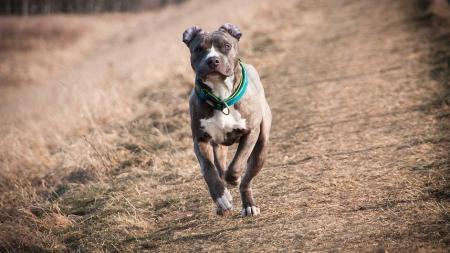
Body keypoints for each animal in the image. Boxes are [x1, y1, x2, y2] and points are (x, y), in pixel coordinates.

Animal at [182, 23, 270, 215]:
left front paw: (233, 179)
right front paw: (221, 197)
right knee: (220, 167)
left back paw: (248, 205)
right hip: (219, 147)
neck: (221, 96)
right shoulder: (200, 140)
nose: (213, 60)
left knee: (246, 180)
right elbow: (208, 170)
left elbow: (237, 164)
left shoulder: (251, 132)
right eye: (198, 49)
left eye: (227, 46)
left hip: (261, 148)